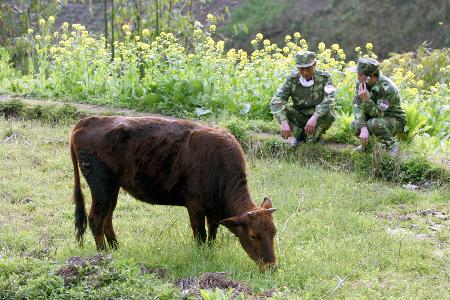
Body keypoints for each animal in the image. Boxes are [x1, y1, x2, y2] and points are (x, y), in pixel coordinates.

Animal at [69, 116, 278, 270]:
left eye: (274, 232)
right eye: (253, 235)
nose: (271, 267)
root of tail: (88, 121)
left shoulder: (212, 211)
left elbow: (212, 233)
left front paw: (210, 251)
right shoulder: (194, 207)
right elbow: (200, 235)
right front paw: (201, 256)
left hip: (113, 187)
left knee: (107, 218)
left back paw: (116, 249)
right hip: (101, 185)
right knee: (96, 218)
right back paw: (103, 255)